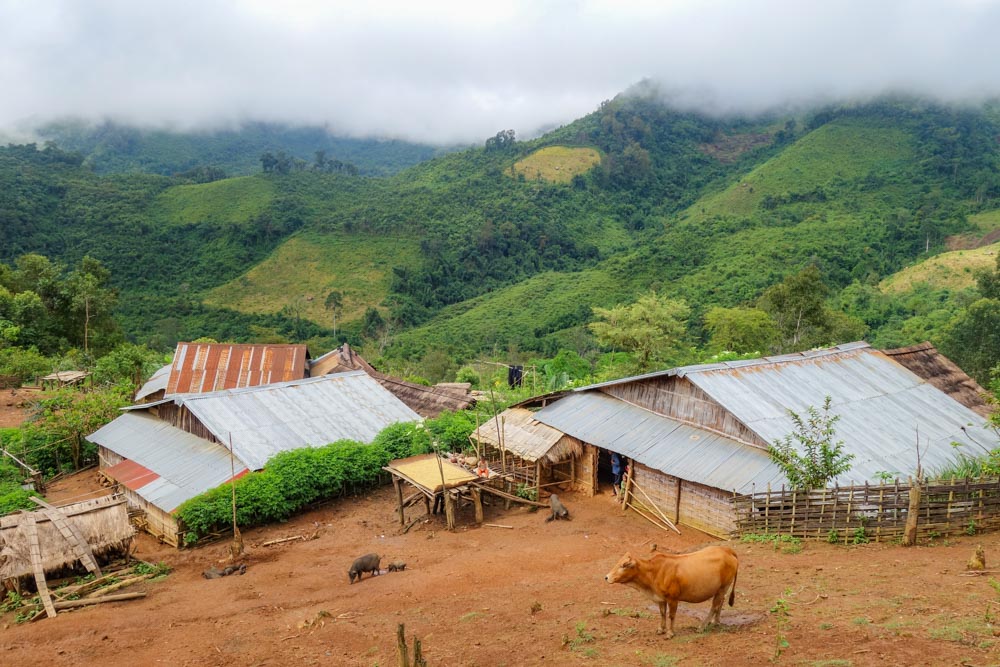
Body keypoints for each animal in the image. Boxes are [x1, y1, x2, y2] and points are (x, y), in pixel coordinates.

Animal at [600, 548, 736, 640]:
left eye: (624, 565)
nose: (606, 577)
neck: (654, 572)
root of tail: (727, 550)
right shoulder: (661, 599)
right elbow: (662, 613)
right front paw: (661, 629)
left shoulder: (673, 598)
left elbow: (671, 615)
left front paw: (670, 633)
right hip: (721, 589)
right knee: (721, 602)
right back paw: (715, 621)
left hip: (722, 587)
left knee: (714, 606)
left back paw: (702, 626)